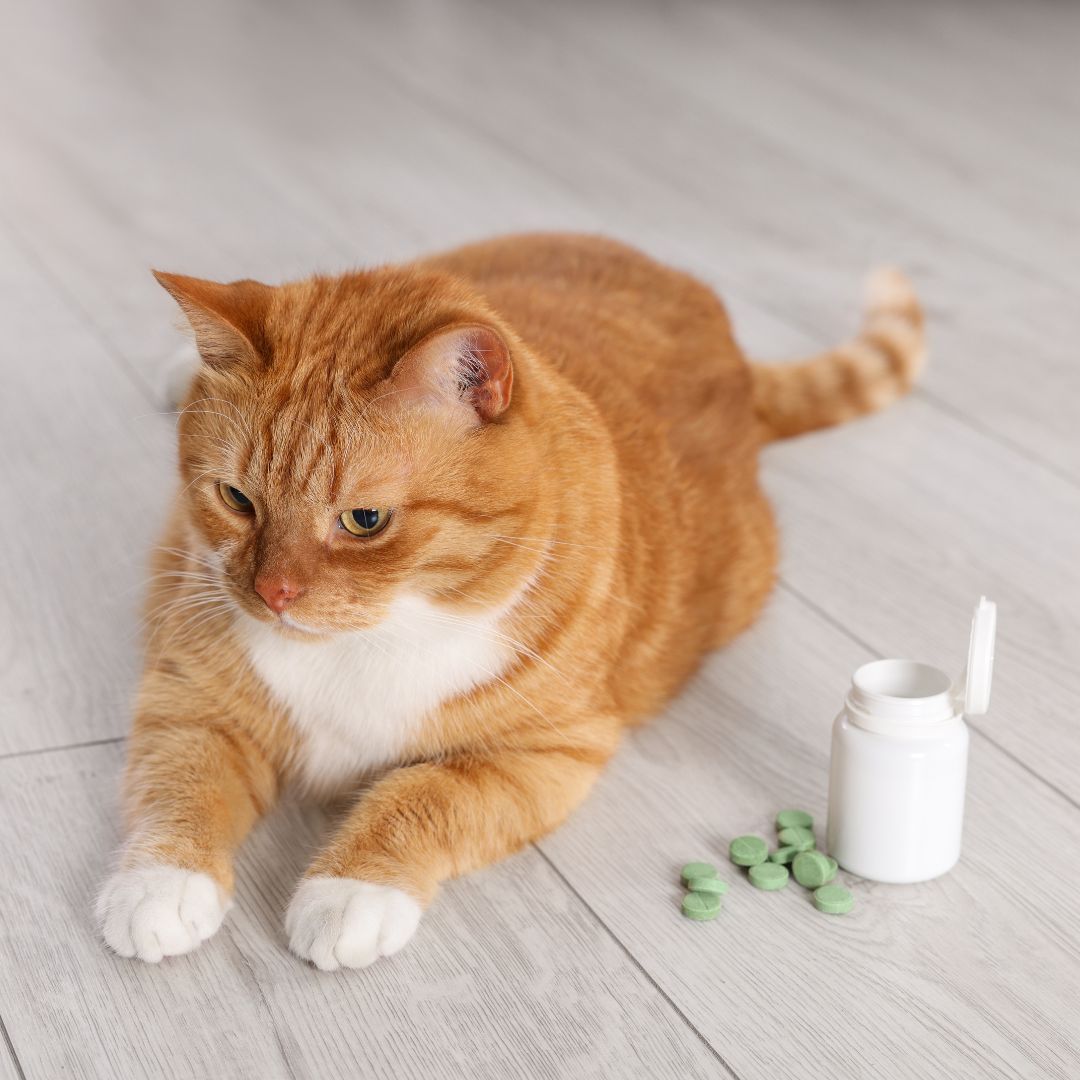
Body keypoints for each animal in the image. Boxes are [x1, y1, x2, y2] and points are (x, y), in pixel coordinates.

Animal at [97, 232, 920, 967]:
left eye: (365, 520)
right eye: (236, 500)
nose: (271, 595)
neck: (369, 641)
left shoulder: (547, 753)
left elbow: (422, 798)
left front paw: (350, 894)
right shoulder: (190, 693)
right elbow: (181, 784)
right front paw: (157, 886)